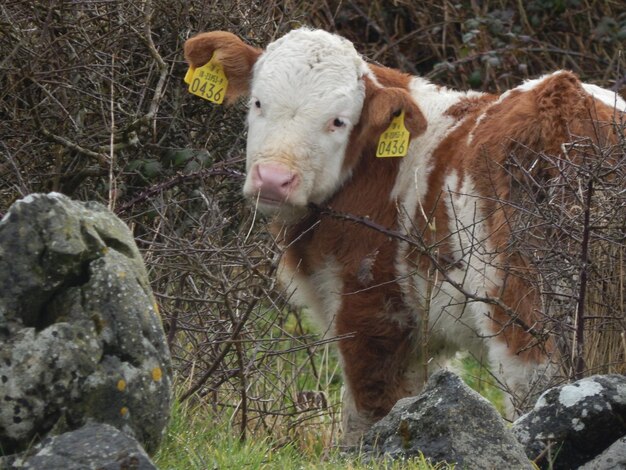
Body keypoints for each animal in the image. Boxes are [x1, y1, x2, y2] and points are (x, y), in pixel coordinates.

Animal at [183, 29, 620, 444]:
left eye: (338, 121)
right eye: (258, 103)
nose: (273, 179)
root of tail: (568, 105)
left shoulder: (373, 305)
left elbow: (369, 407)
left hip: (523, 306)